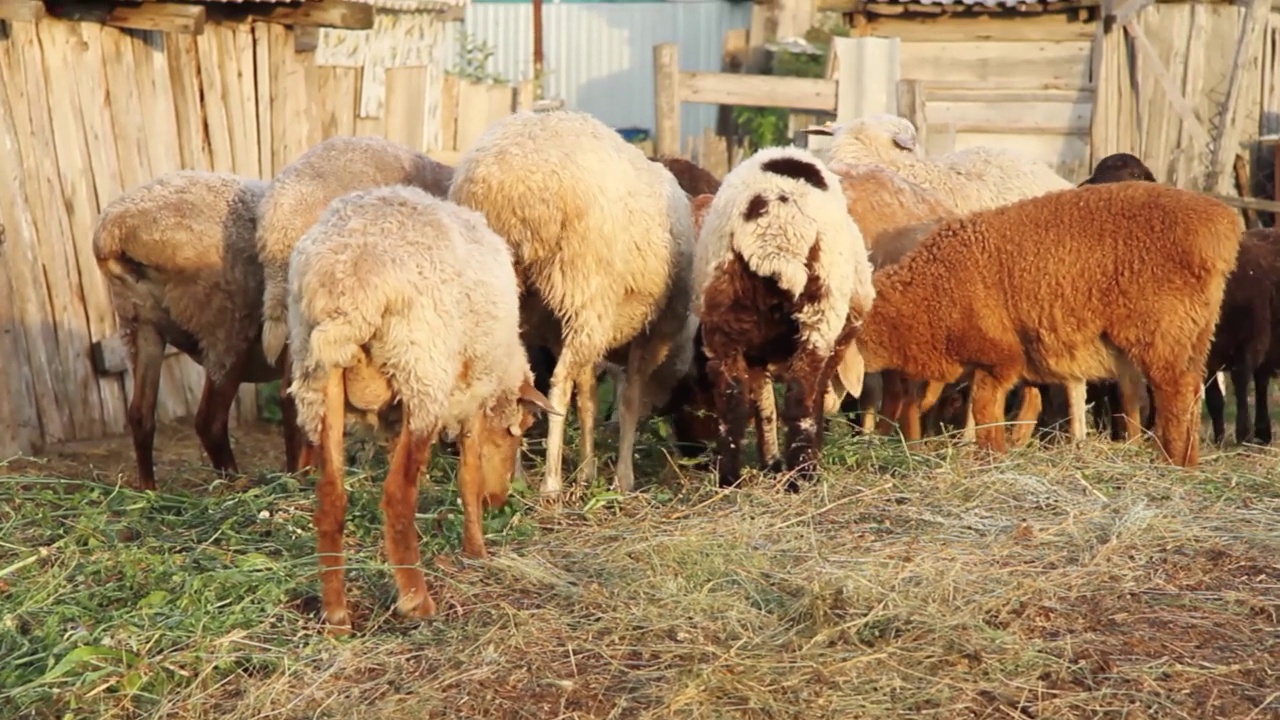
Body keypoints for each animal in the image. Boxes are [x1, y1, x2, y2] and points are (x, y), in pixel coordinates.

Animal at [286, 184, 555, 632]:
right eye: (517, 429)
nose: (499, 501)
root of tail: (348, 283)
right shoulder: (471, 395)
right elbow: (468, 476)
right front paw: (476, 549)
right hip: (422, 371)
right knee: (397, 495)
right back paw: (416, 600)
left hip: (319, 378)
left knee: (330, 496)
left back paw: (337, 614)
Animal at [445, 109, 696, 497]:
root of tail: (509, 185)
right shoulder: (646, 332)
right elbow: (626, 400)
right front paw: (622, 476)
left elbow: (589, 396)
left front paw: (588, 470)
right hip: (582, 287)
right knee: (558, 386)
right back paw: (550, 482)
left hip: (511, 299)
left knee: (518, 382)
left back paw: (516, 475)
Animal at [696, 142, 875, 484]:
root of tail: (776, 232)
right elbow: (811, 397)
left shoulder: (756, 355)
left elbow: (764, 406)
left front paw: (770, 461)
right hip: (819, 314)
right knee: (800, 397)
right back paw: (803, 475)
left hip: (724, 313)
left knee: (732, 401)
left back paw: (730, 478)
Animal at [844, 180, 1244, 466]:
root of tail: (1222, 224)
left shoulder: (999, 357)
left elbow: (985, 408)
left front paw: (992, 456)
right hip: (1195, 334)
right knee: (1191, 393)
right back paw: (1188, 463)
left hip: (1163, 332)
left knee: (1176, 394)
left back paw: (1171, 463)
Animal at [1198, 228, 1280, 443]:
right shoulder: (1208, 358)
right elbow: (1214, 399)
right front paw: (1219, 438)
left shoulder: (1249, 343)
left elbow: (1241, 384)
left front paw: (1243, 433)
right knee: (1261, 382)